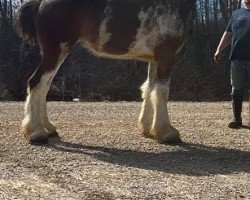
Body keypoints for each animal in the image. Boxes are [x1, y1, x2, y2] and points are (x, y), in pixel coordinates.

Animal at [17, 0, 197, 144]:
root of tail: (41, 3)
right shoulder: (166, 56)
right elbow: (161, 92)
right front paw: (166, 132)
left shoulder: (154, 60)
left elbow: (149, 89)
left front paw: (147, 127)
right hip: (56, 51)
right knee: (37, 83)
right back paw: (37, 132)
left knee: (43, 87)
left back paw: (47, 128)